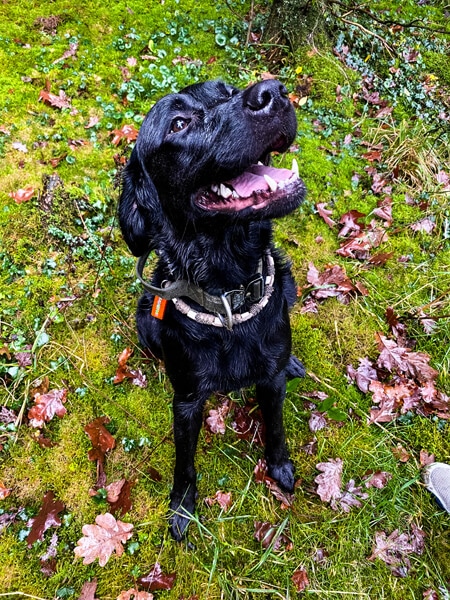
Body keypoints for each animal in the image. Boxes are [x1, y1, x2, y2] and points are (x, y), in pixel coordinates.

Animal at [119, 78, 306, 540]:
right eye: (178, 123)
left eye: (228, 89)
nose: (272, 92)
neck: (229, 299)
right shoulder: (187, 402)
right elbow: (184, 465)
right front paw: (182, 508)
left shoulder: (270, 381)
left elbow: (276, 426)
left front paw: (279, 466)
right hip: (145, 314)